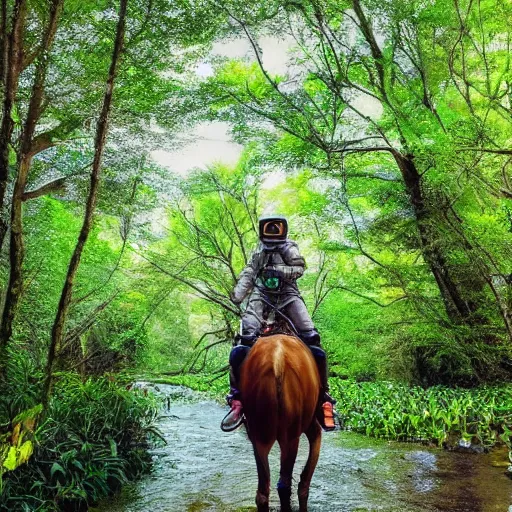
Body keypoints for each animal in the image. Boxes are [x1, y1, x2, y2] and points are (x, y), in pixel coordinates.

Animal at [239, 334, 320, 510]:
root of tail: (277, 362)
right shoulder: (312, 425)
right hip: (290, 436)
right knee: (284, 485)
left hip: (259, 431)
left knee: (263, 491)